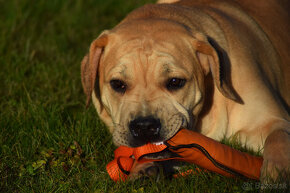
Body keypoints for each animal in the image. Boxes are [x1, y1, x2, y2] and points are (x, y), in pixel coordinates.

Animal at [80, 0, 288, 182]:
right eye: (117, 84)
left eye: (175, 82)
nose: (144, 126)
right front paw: (142, 168)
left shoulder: (274, 121)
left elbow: (277, 140)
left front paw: (276, 175)